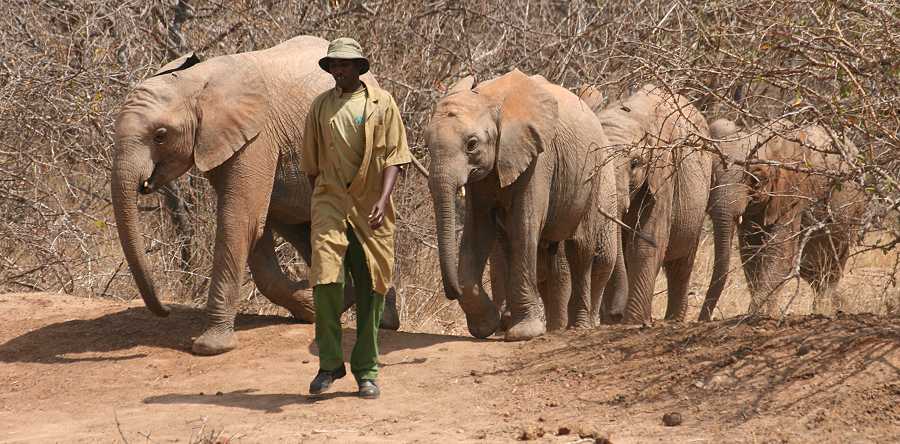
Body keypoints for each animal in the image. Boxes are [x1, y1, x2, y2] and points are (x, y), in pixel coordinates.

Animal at [111, 34, 398, 356]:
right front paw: (309, 308)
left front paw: (210, 347)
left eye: (160, 135)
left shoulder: (256, 139)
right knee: (302, 229)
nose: (167, 311)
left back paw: (384, 320)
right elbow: (254, 230)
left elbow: (239, 222)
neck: (195, 82)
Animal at [426, 70, 624, 340]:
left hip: (596, 172)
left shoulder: (539, 159)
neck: (489, 100)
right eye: (427, 145)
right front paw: (486, 327)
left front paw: (523, 333)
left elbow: (524, 224)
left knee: (581, 248)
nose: (450, 292)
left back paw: (578, 326)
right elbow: (479, 230)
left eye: (471, 144)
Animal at [580, 85, 712, 324]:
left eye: (635, 163)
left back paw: (673, 320)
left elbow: (647, 244)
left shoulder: (665, 171)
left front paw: (632, 323)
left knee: (680, 264)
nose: (616, 313)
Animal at [696, 118, 864, 320]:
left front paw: (756, 315)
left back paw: (824, 310)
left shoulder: (793, 190)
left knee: (832, 264)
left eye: (756, 179)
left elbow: (780, 252)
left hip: (852, 210)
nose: (703, 319)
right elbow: (751, 253)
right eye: (711, 177)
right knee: (813, 269)